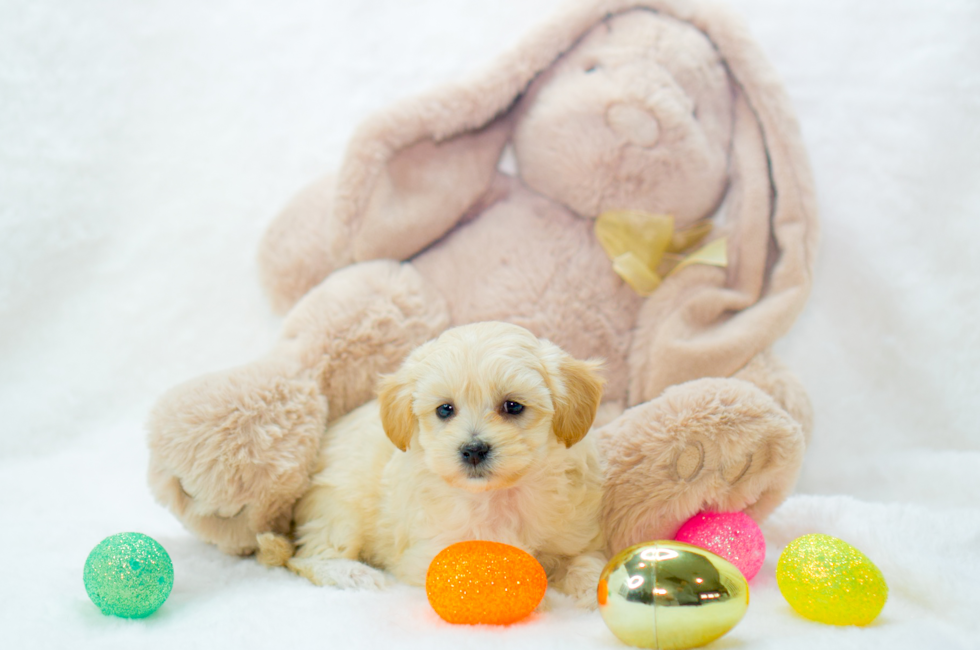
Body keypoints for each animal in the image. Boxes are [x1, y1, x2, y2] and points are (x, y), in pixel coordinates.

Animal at [264, 322, 608, 604]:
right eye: (445, 410)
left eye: (513, 406)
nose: (473, 449)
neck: (497, 496)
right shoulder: (432, 552)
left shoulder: (573, 537)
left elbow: (583, 560)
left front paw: (594, 587)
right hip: (339, 510)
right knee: (307, 557)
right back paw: (352, 575)